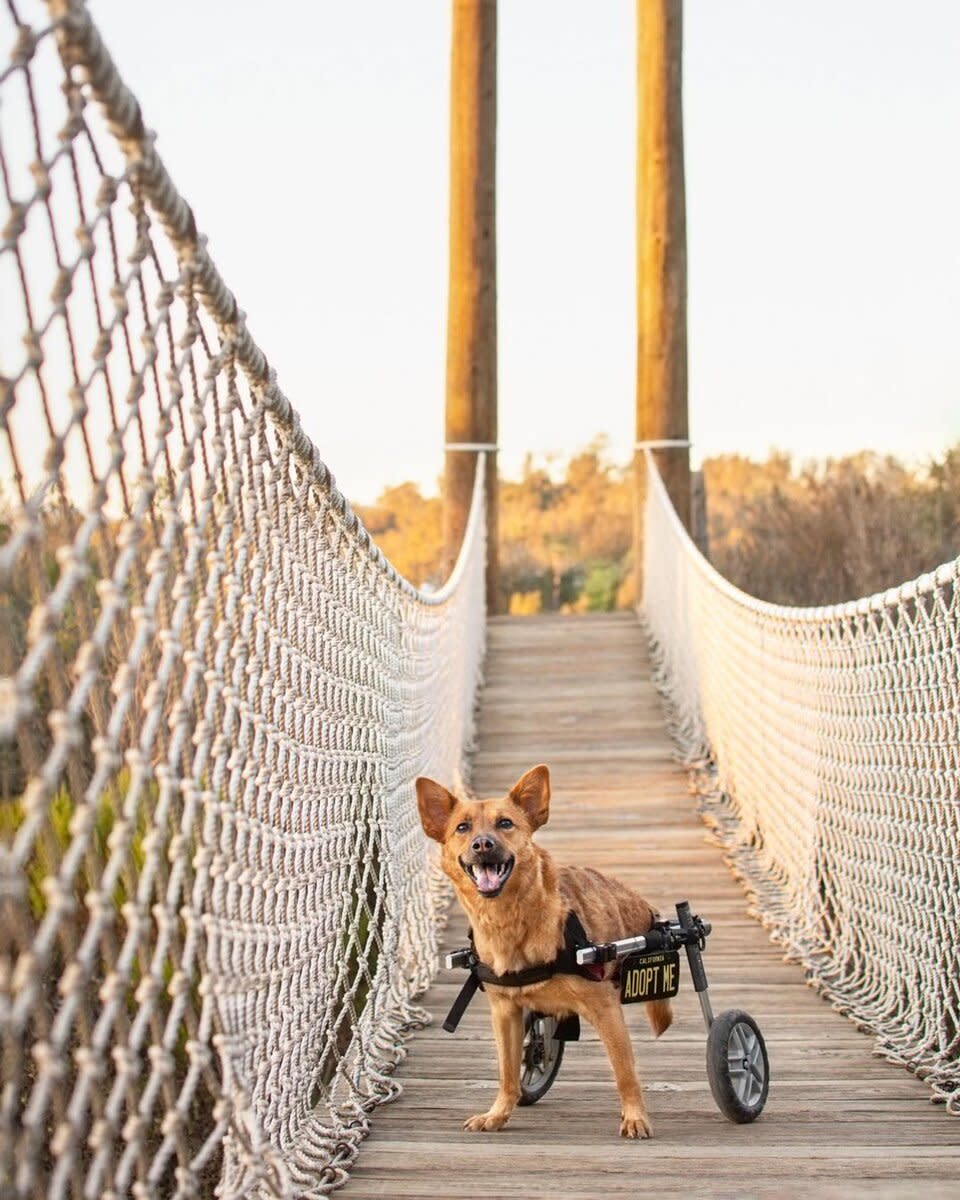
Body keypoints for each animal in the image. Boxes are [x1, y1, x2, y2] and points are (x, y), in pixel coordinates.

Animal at [415, 763, 672, 1137]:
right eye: (462, 827)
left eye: (505, 823)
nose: (482, 844)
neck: (509, 922)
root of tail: (645, 908)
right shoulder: (505, 1012)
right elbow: (508, 1073)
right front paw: (498, 1113)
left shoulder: (606, 1008)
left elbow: (625, 1071)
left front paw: (635, 1117)